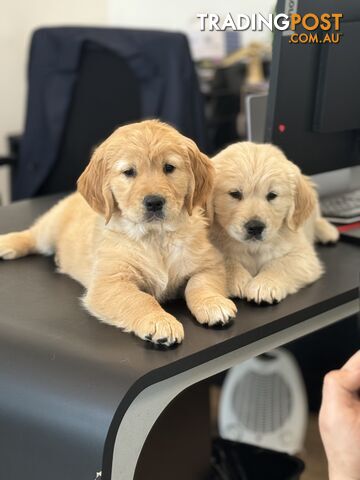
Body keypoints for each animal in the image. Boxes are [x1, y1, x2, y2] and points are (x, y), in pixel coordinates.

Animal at [0, 120, 236, 344]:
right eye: (129, 172)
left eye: (169, 167)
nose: (154, 202)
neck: (156, 237)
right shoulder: (109, 282)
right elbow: (141, 300)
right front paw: (159, 321)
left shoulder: (209, 263)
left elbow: (201, 285)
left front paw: (214, 303)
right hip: (51, 226)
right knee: (33, 234)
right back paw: (7, 244)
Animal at [210, 141, 338, 304]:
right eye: (235, 194)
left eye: (272, 195)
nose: (255, 227)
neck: (253, 248)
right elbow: (226, 260)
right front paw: (236, 278)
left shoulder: (304, 256)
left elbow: (281, 264)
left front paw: (264, 284)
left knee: (317, 219)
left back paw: (328, 231)